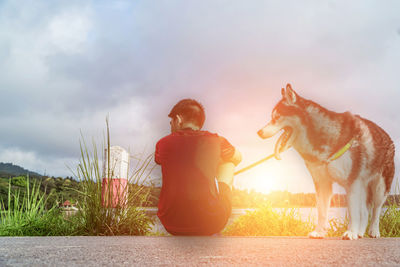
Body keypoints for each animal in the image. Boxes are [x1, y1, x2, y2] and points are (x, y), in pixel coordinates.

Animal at [260, 84, 394, 241]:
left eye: (276, 117)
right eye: (272, 117)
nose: (259, 132)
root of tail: (387, 135)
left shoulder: (353, 183)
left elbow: (353, 212)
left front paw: (350, 232)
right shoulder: (322, 183)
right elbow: (322, 211)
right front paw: (319, 232)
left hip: (379, 187)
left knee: (376, 210)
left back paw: (373, 231)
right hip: (363, 186)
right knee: (365, 210)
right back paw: (360, 232)